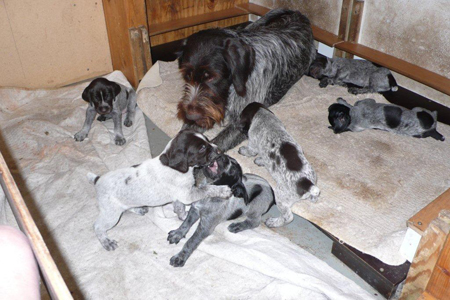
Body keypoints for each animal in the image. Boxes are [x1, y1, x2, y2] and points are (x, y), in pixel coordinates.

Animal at [87, 129, 232, 251]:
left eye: (207, 140)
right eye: (202, 148)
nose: (220, 150)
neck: (175, 168)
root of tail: (98, 180)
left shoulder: (179, 196)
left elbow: (179, 208)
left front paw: (182, 216)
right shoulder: (187, 194)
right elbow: (207, 188)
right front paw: (223, 190)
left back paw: (138, 209)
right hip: (111, 214)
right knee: (97, 226)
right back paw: (106, 242)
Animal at [177, 8, 316, 151]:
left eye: (211, 77)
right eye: (187, 75)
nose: (190, 116)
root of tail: (298, 13)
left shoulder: (243, 119)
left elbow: (218, 143)